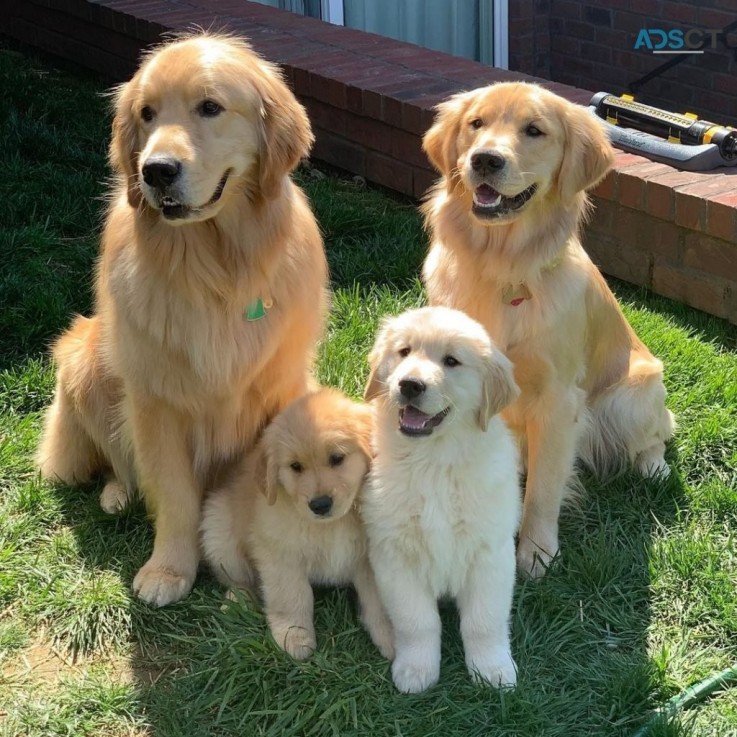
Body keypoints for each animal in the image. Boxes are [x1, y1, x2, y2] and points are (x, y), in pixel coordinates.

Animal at [34, 31, 328, 604]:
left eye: (209, 107)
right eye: (146, 114)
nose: (155, 170)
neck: (215, 268)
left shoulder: (274, 395)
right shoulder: (155, 402)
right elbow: (171, 493)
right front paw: (169, 570)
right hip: (83, 361)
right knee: (118, 463)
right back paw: (116, 495)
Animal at [198, 388, 394, 660]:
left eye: (337, 458)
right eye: (295, 467)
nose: (320, 504)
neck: (332, 524)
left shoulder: (371, 557)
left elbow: (379, 599)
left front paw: (392, 637)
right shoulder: (281, 555)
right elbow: (292, 597)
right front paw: (294, 635)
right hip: (218, 530)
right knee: (236, 577)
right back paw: (237, 601)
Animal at [364, 306, 524, 696]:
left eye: (452, 361)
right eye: (404, 352)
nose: (409, 384)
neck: (434, 462)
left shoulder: (490, 554)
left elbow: (484, 621)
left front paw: (493, 670)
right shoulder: (394, 556)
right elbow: (417, 621)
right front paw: (416, 669)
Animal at [422, 80, 676, 576]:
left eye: (534, 131)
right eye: (476, 123)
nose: (484, 159)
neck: (501, 266)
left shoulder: (558, 399)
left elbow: (543, 489)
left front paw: (536, 552)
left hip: (634, 392)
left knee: (657, 433)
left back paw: (653, 466)